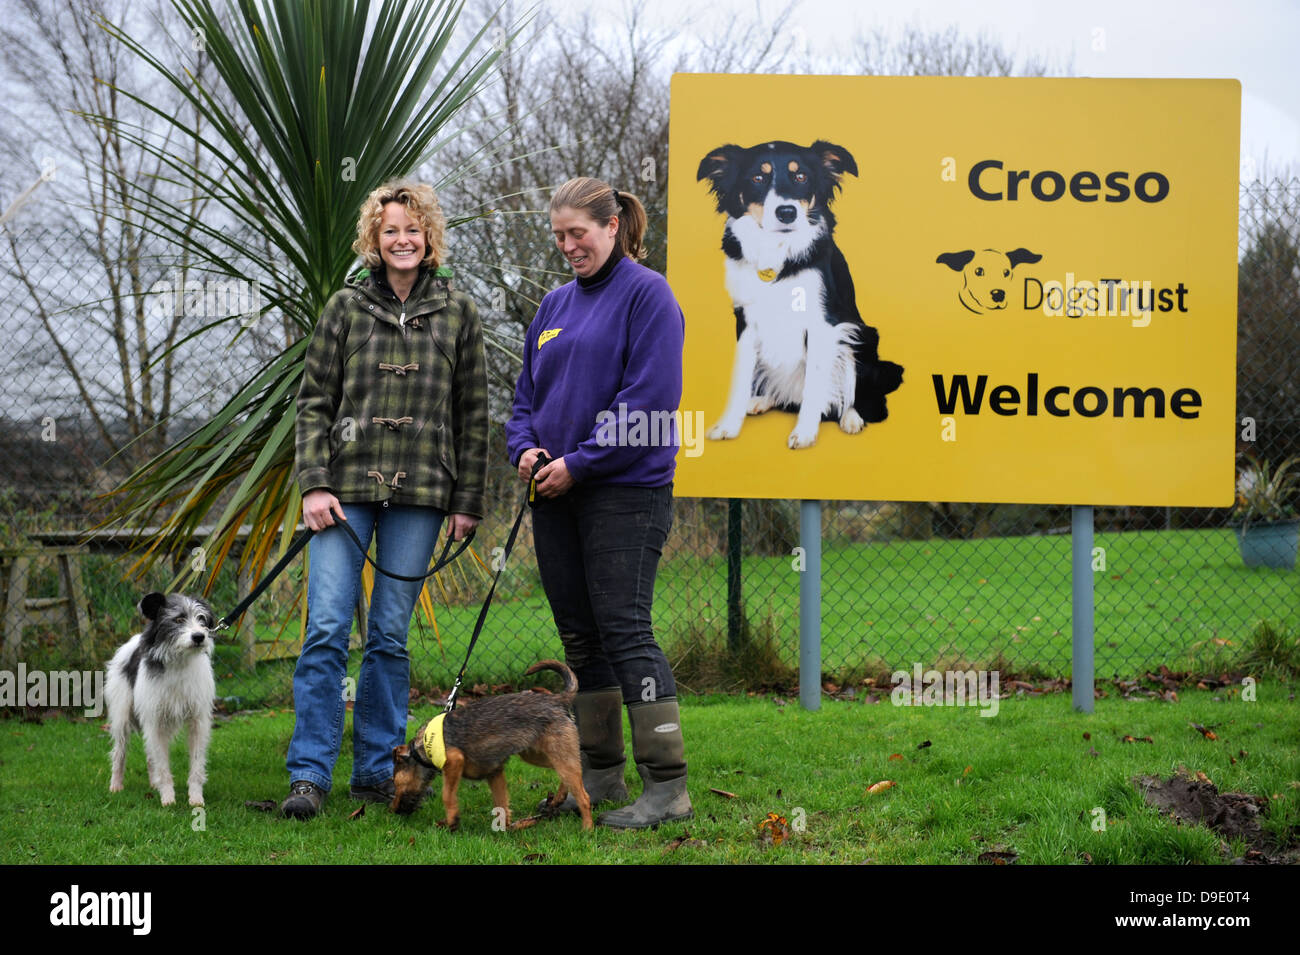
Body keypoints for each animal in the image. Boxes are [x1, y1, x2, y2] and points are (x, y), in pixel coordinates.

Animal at [106, 597, 215, 805]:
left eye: (202, 619)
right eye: (179, 619)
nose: (199, 636)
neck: (179, 663)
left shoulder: (197, 722)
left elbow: (196, 764)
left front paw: (196, 797)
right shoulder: (155, 722)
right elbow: (163, 766)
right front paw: (168, 797)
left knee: (150, 755)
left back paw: (153, 783)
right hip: (123, 717)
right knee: (119, 752)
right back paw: (116, 785)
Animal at [390, 665, 595, 831]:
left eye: (395, 784)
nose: (393, 810)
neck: (421, 750)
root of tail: (557, 700)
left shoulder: (455, 761)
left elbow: (447, 795)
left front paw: (452, 820)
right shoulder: (495, 773)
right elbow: (502, 805)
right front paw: (509, 827)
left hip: (556, 753)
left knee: (584, 796)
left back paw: (587, 829)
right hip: (538, 754)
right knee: (570, 772)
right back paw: (559, 797)